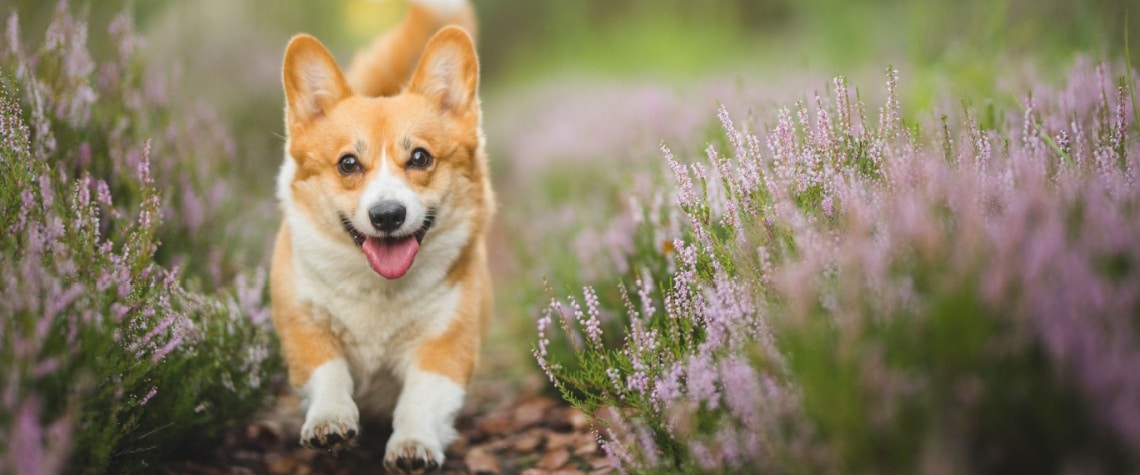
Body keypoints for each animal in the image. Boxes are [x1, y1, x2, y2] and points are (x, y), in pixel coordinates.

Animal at [272, 0, 494, 469]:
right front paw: (330, 422)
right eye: (348, 164)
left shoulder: (445, 344)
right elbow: (329, 372)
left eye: (420, 157)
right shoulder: (304, 325)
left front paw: (413, 445)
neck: (378, 290)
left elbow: (420, 399)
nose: (388, 215)